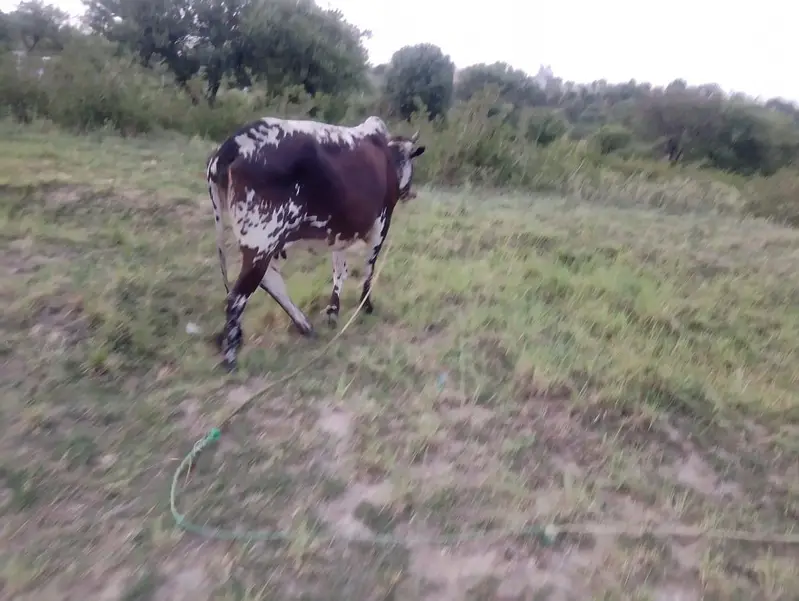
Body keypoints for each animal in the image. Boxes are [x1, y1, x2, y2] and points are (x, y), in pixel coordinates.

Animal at [205, 115, 426, 371]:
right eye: (411, 160)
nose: (409, 192)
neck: (387, 153)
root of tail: (232, 145)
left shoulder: (339, 232)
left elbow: (340, 271)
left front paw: (333, 310)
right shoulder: (381, 223)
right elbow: (369, 268)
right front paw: (366, 305)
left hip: (261, 242)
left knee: (269, 281)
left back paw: (304, 325)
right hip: (261, 242)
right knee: (238, 296)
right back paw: (231, 357)